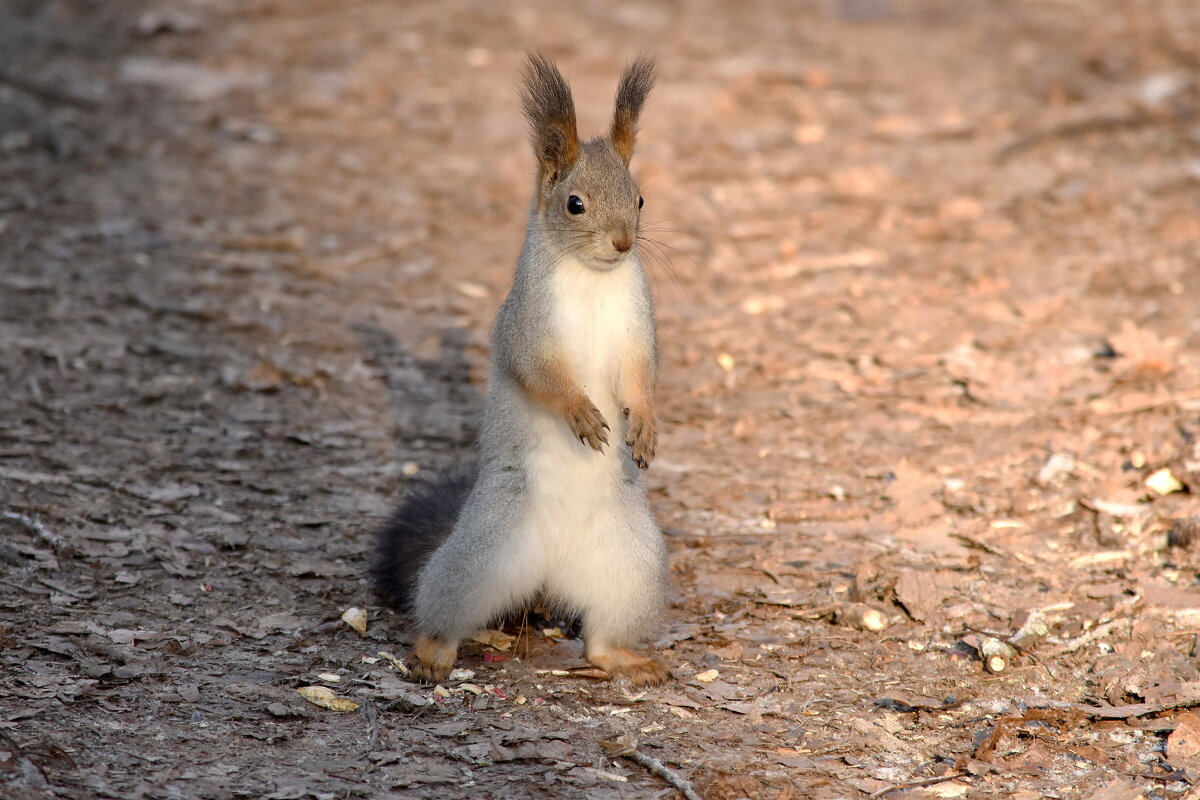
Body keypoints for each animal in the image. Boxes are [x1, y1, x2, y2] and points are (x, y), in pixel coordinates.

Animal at [372, 53, 672, 686]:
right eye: (574, 203)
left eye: (639, 200)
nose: (623, 243)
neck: (592, 278)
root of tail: (549, 574)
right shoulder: (526, 326)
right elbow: (541, 375)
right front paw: (581, 413)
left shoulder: (640, 326)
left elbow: (642, 377)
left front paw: (645, 426)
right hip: (482, 553)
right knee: (444, 609)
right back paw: (432, 653)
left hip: (632, 566)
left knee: (599, 639)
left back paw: (623, 659)